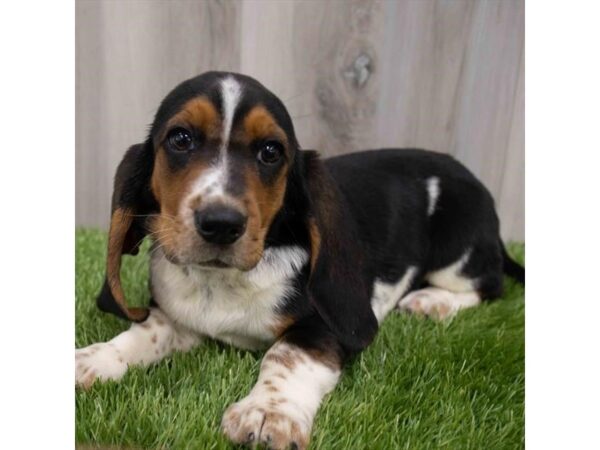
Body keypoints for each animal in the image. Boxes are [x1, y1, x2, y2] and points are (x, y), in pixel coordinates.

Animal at [75, 72, 524, 448]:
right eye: (180, 139)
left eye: (271, 152)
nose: (220, 224)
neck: (223, 282)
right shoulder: (177, 318)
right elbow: (142, 334)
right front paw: (93, 359)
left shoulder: (321, 326)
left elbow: (284, 355)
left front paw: (267, 413)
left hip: (457, 251)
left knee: (489, 285)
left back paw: (433, 302)